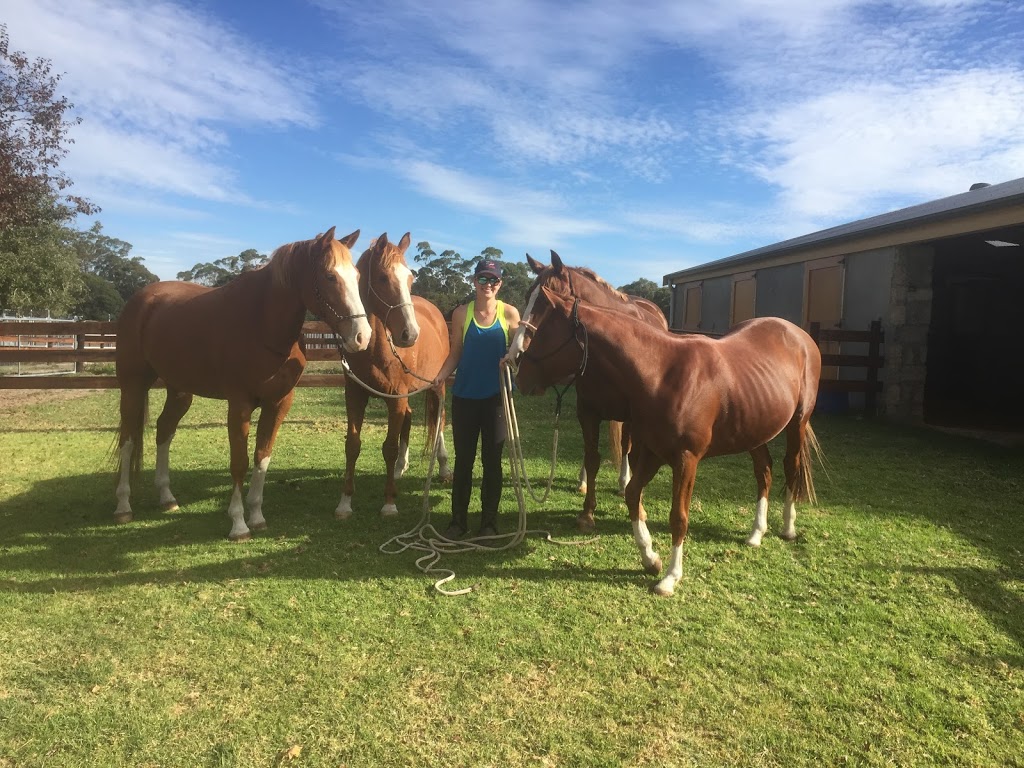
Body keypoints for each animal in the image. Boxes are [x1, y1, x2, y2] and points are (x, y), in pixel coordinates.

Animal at [116, 228, 372, 540]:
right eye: (330, 276)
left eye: (356, 276)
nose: (362, 336)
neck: (262, 326)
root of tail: (142, 300)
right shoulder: (239, 405)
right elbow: (239, 462)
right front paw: (239, 524)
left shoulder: (278, 404)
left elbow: (262, 457)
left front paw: (257, 516)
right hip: (132, 385)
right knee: (128, 439)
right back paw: (123, 506)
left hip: (179, 390)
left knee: (164, 431)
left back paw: (167, 498)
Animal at [333, 231, 450, 520]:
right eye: (384, 278)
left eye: (409, 278)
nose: (410, 334)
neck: (374, 349)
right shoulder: (355, 396)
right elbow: (352, 445)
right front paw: (345, 502)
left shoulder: (396, 399)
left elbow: (389, 446)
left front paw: (389, 503)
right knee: (409, 418)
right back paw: (399, 468)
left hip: (437, 387)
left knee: (440, 420)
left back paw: (443, 468)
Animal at [516, 286, 819, 593]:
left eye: (541, 331)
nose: (518, 375)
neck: (662, 374)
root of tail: (799, 335)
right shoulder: (653, 452)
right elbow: (632, 494)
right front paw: (650, 558)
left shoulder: (686, 460)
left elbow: (678, 517)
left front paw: (671, 577)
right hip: (754, 430)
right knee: (764, 471)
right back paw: (756, 532)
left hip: (797, 423)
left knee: (790, 467)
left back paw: (788, 528)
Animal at [524, 252, 667, 528]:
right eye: (527, 296)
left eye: (548, 300)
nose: (518, 348)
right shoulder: (587, 409)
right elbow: (592, 458)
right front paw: (587, 511)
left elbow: (631, 453)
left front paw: (636, 503)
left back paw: (622, 482)